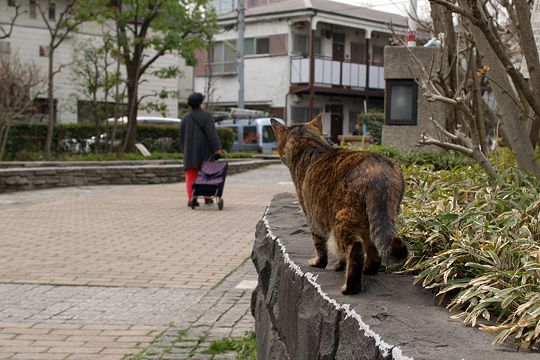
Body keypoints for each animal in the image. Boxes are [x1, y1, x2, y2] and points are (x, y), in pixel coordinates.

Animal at [272, 114, 408, 294]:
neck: (312, 149)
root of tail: (378, 170)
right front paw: (340, 265)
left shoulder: (313, 217)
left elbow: (320, 246)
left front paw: (319, 263)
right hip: (377, 220)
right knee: (373, 251)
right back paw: (368, 270)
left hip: (342, 222)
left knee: (355, 250)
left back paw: (349, 288)